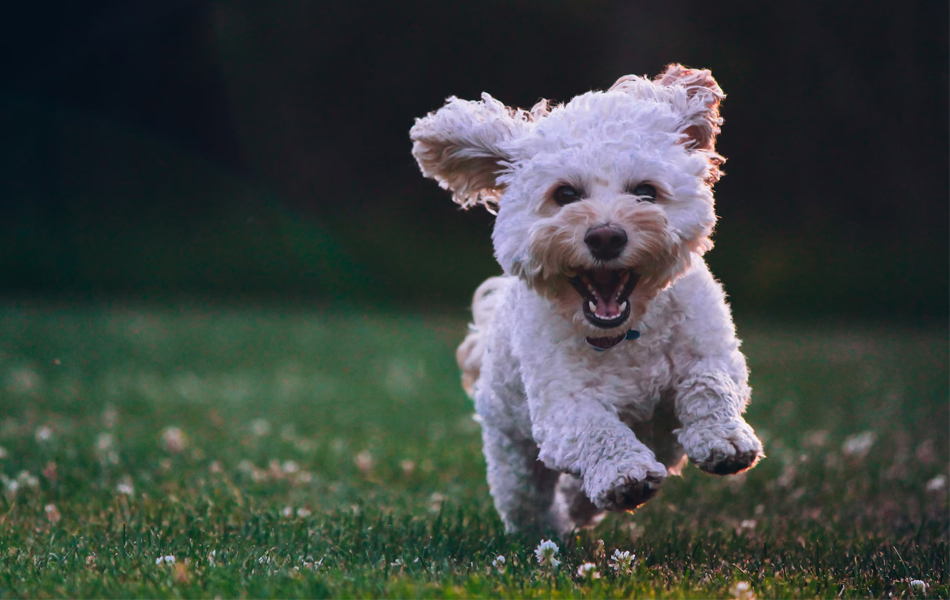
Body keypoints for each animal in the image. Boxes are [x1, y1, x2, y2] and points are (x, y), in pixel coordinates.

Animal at [410, 64, 768, 536]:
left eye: (646, 192)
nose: (606, 236)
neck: (626, 334)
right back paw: (551, 529)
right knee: (527, 499)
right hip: (512, 452)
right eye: (565, 194)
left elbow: (709, 383)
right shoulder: (562, 405)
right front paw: (624, 475)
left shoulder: (713, 351)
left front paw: (723, 439)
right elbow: (596, 429)